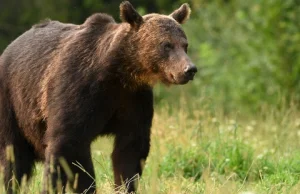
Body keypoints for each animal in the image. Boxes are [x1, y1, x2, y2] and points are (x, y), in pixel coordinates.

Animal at [0, 1, 197, 192]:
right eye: (166, 45)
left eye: (185, 45)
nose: (189, 69)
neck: (119, 73)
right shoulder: (78, 89)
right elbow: (67, 144)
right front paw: (63, 185)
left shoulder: (133, 99)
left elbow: (130, 149)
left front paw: (125, 185)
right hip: (13, 102)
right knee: (14, 154)